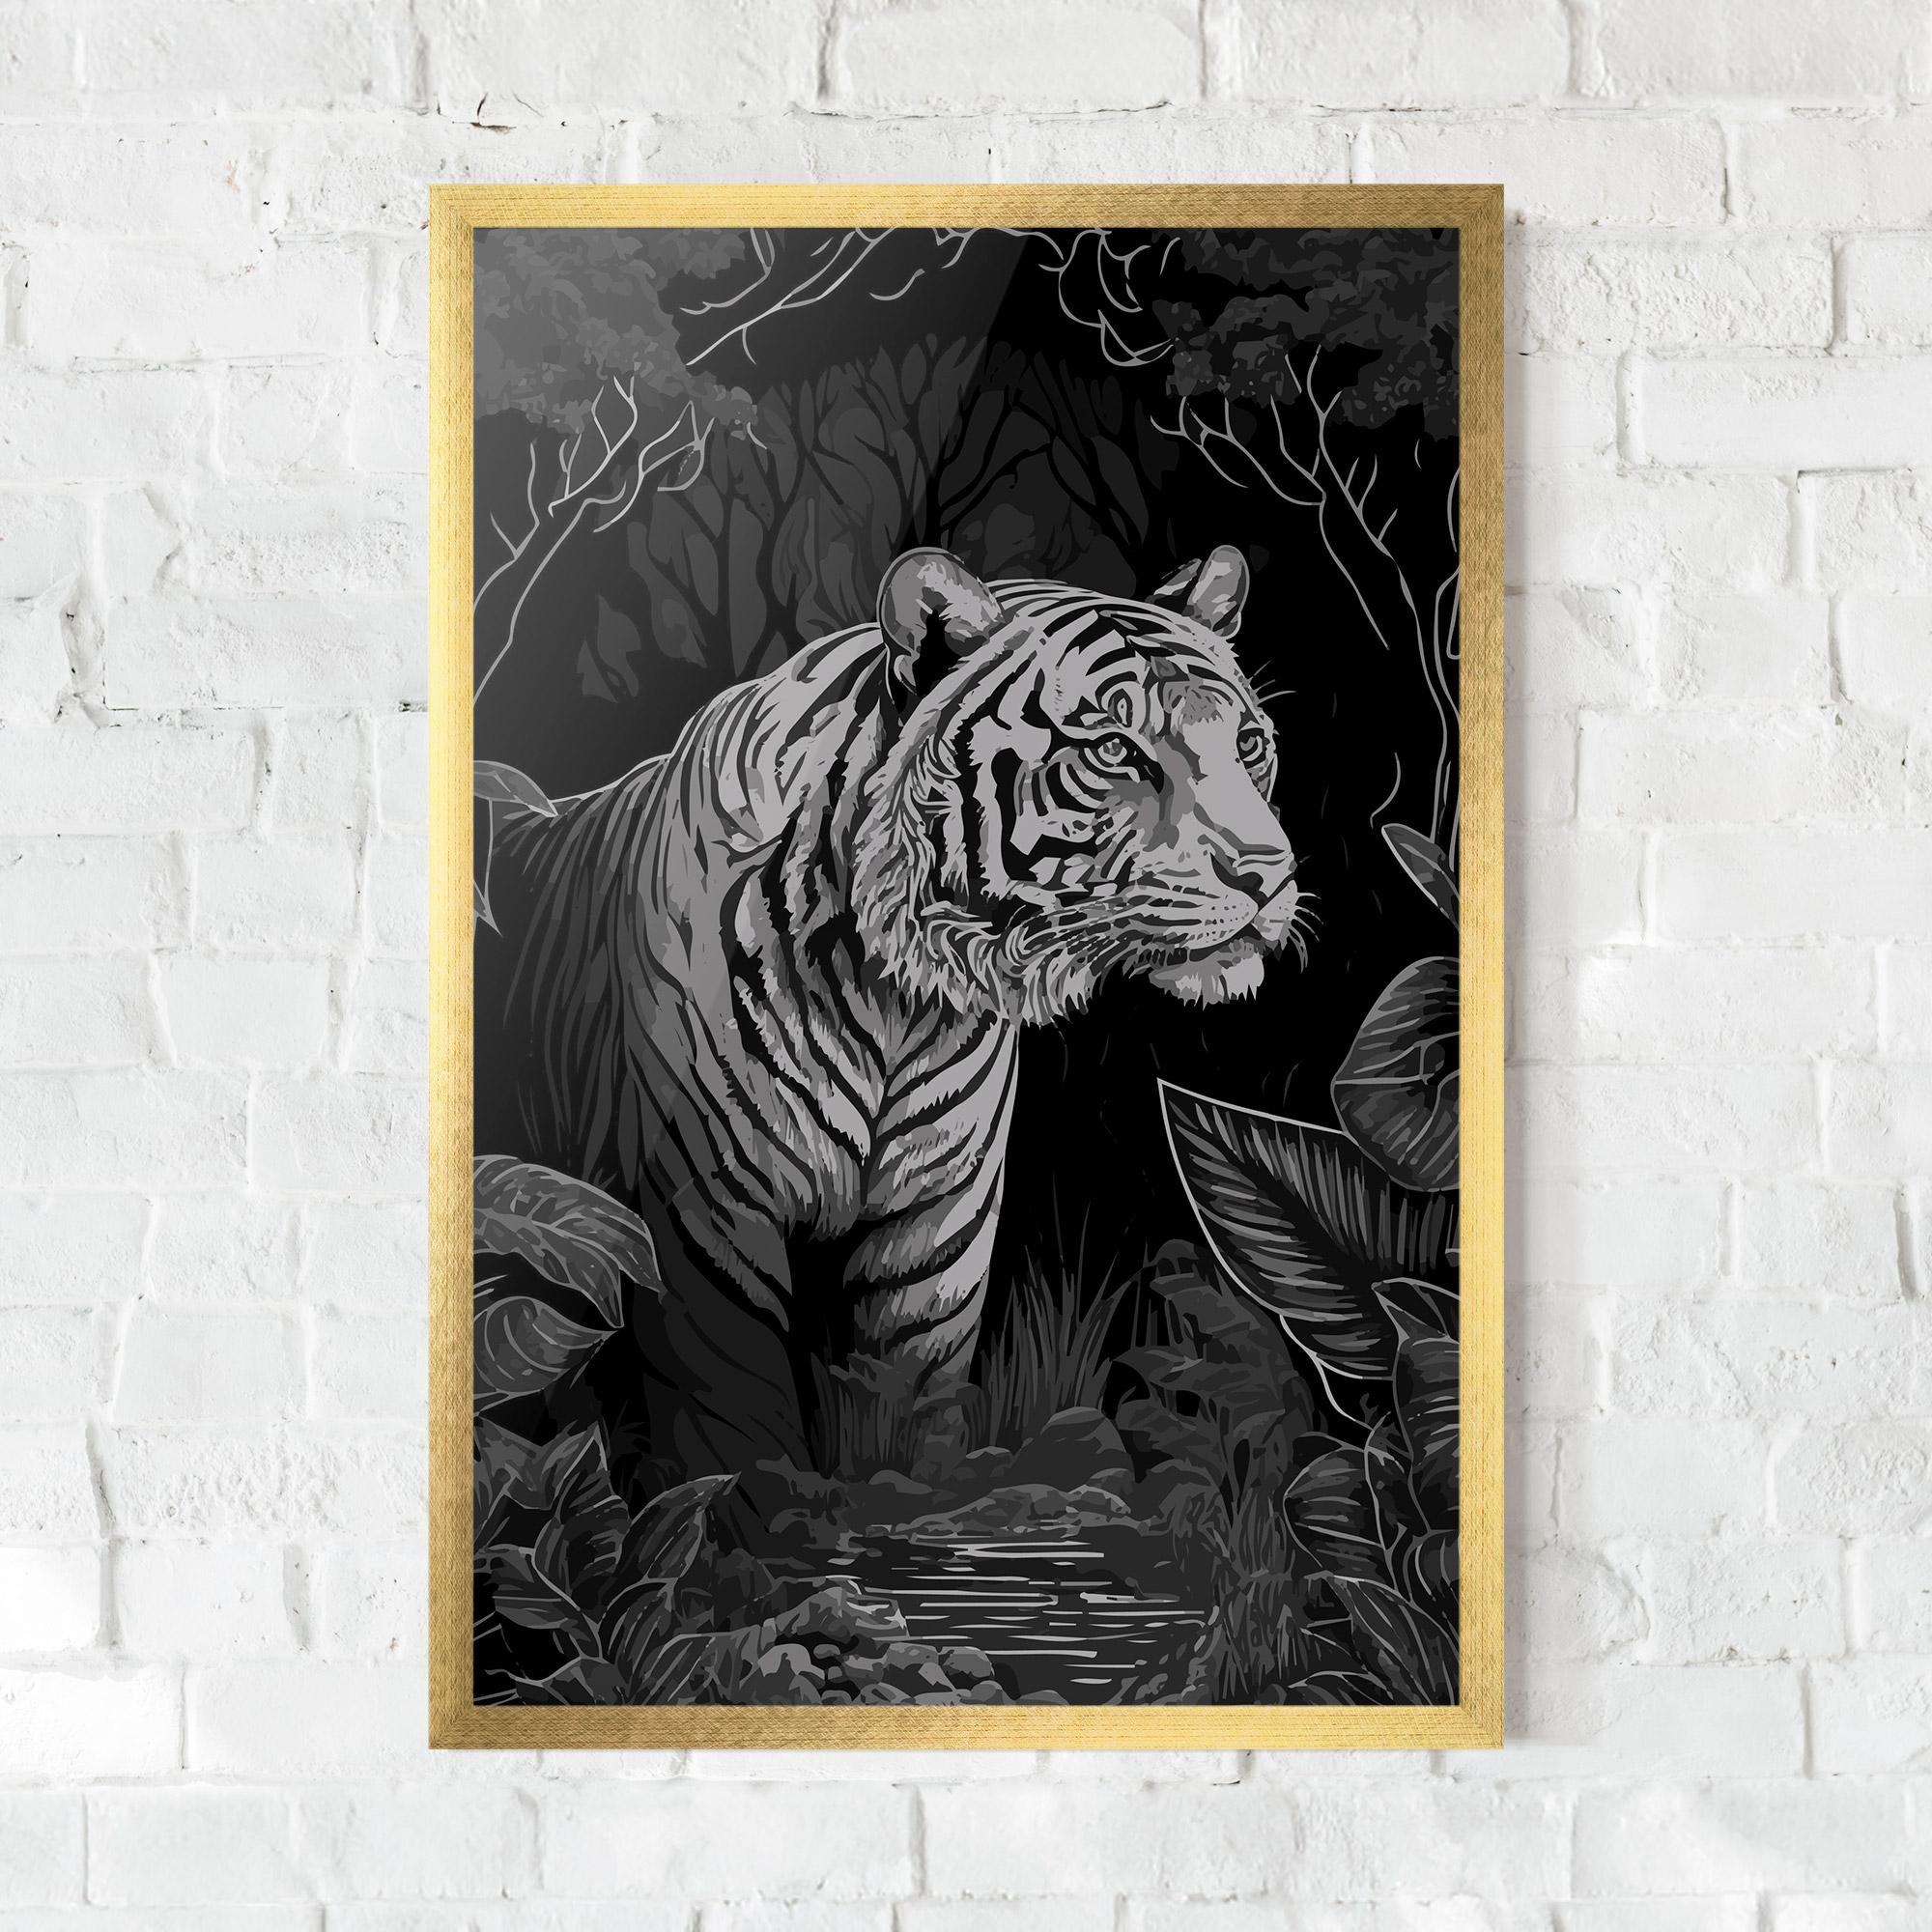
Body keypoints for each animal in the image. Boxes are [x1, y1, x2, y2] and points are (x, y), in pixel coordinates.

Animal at [494, 544, 1303, 1485]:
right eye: (1113, 749)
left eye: (1247, 745)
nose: (1268, 873)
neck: (898, 1000)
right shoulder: (705, 1218)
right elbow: (733, 1430)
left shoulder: (937, 1223)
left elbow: (911, 1410)